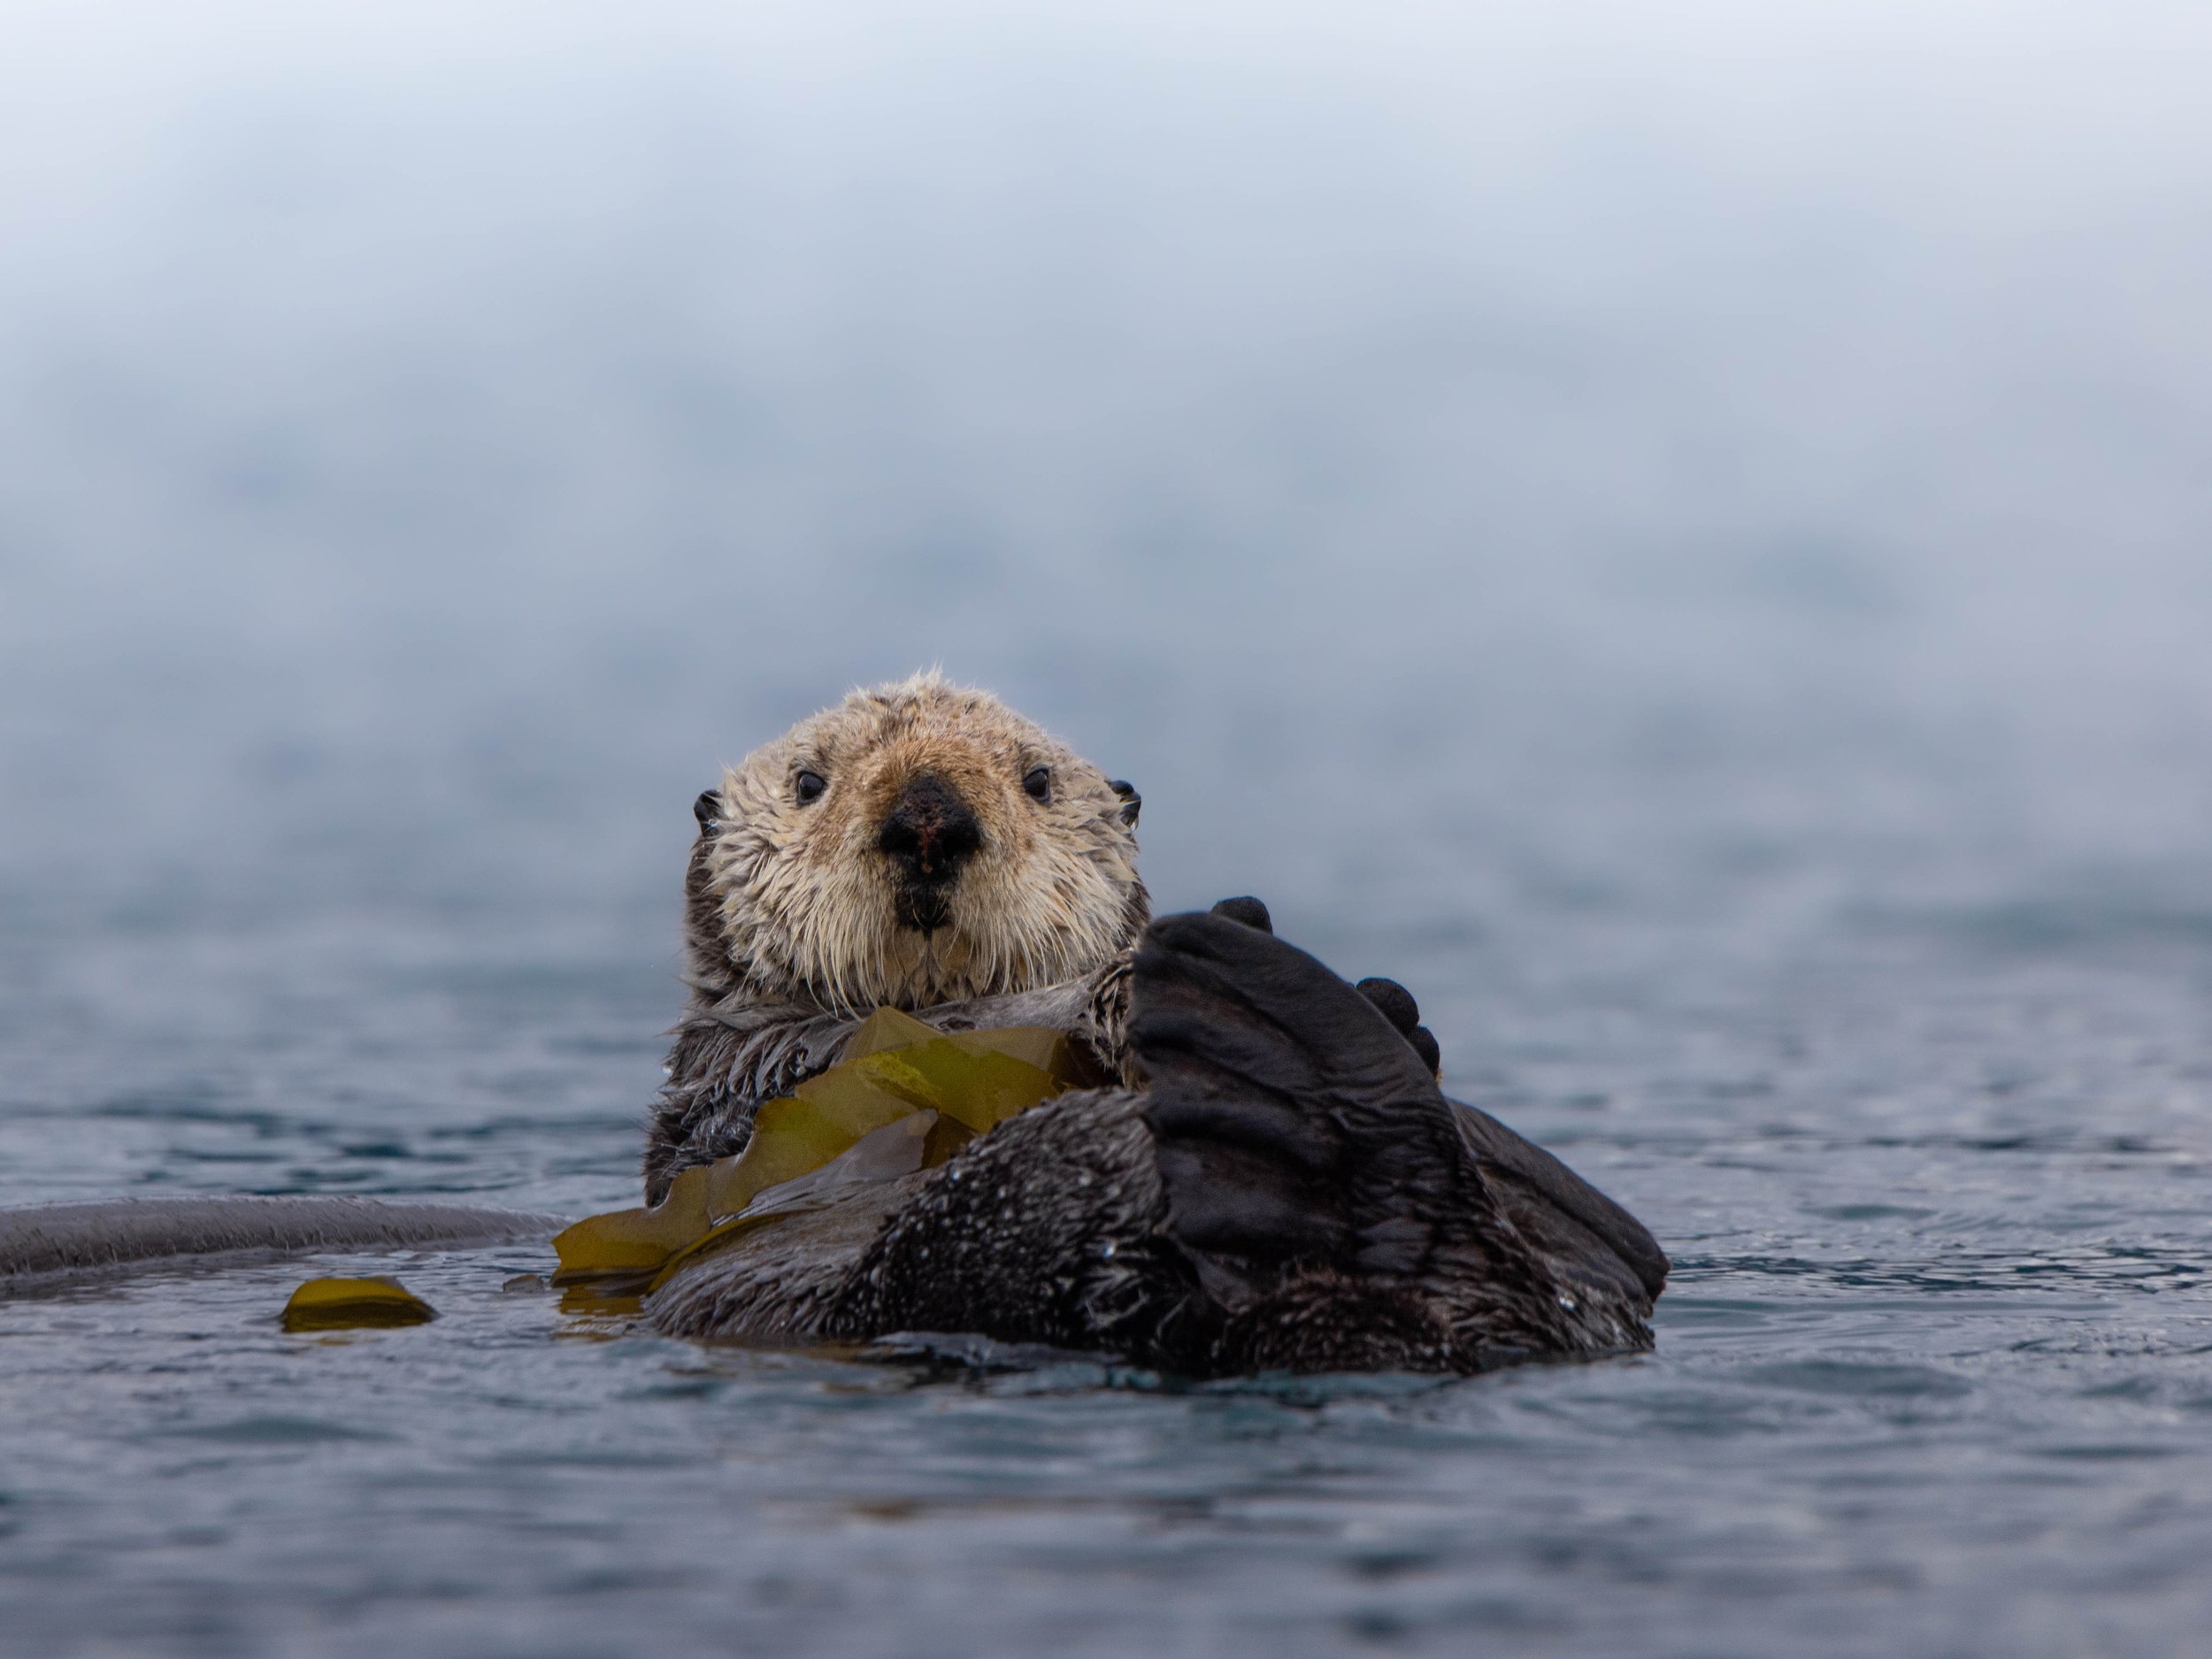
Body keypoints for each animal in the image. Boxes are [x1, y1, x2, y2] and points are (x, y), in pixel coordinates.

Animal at [639, 672, 1667, 1374]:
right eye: (810, 782)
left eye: (1038, 780)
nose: (928, 819)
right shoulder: (761, 1057)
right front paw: (1130, 988)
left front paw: (1398, 1012)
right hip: (956, 1245)